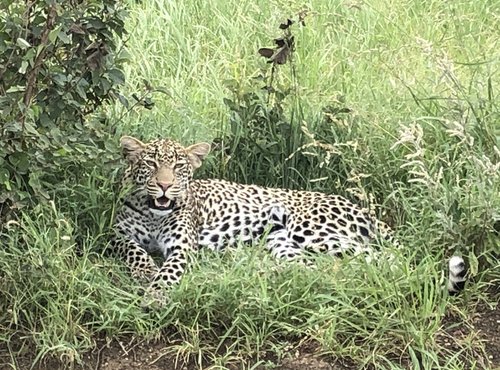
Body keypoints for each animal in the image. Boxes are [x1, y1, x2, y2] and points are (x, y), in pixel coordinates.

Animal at [110, 134, 468, 302]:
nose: (165, 185)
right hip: (281, 242)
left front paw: (155, 294)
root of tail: (358, 205)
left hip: (311, 230)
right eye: (151, 165)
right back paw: (265, 273)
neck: (154, 214)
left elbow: (169, 271)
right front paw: (145, 273)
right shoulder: (117, 234)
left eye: (179, 167)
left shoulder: (182, 246)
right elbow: (132, 249)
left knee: (384, 258)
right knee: (321, 268)